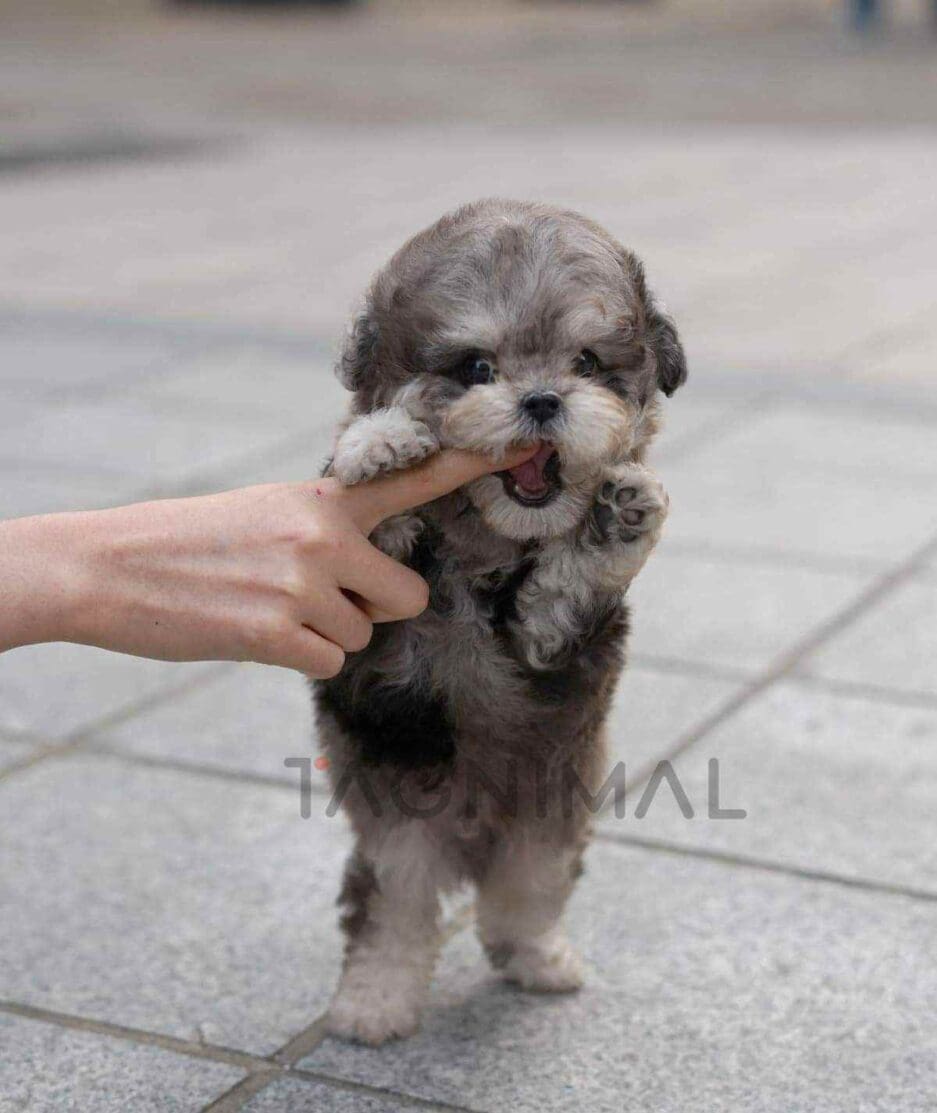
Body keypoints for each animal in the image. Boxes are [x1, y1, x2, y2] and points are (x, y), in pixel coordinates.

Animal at [314, 199, 686, 1045]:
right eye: (475, 368)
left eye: (586, 362)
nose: (543, 399)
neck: (483, 549)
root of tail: (471, 839)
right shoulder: (363, 606)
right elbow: (371, 511)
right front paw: (384, 444)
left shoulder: (550, 642)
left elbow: (566, 590)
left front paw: (618, 520)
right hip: (400, 834)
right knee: (392, 912)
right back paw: (372, 1003)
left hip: (544, 832)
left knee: (517, 903)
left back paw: (539, 960)